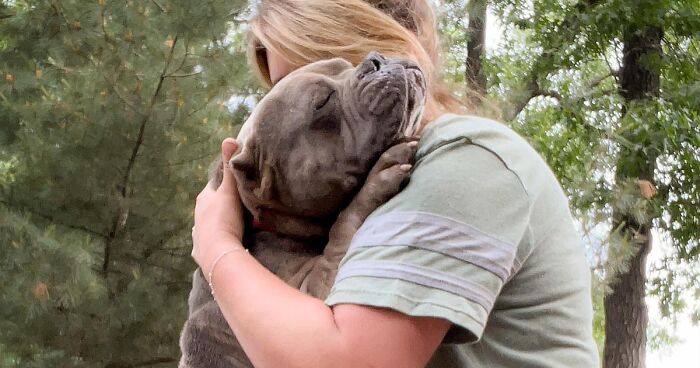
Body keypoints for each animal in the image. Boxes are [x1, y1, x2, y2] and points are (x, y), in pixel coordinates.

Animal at [179, 52, 426, 368]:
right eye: (323, 102)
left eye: (345, 65)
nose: (376, 60)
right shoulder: (311, 293)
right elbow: (343, 228)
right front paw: (375, 183)